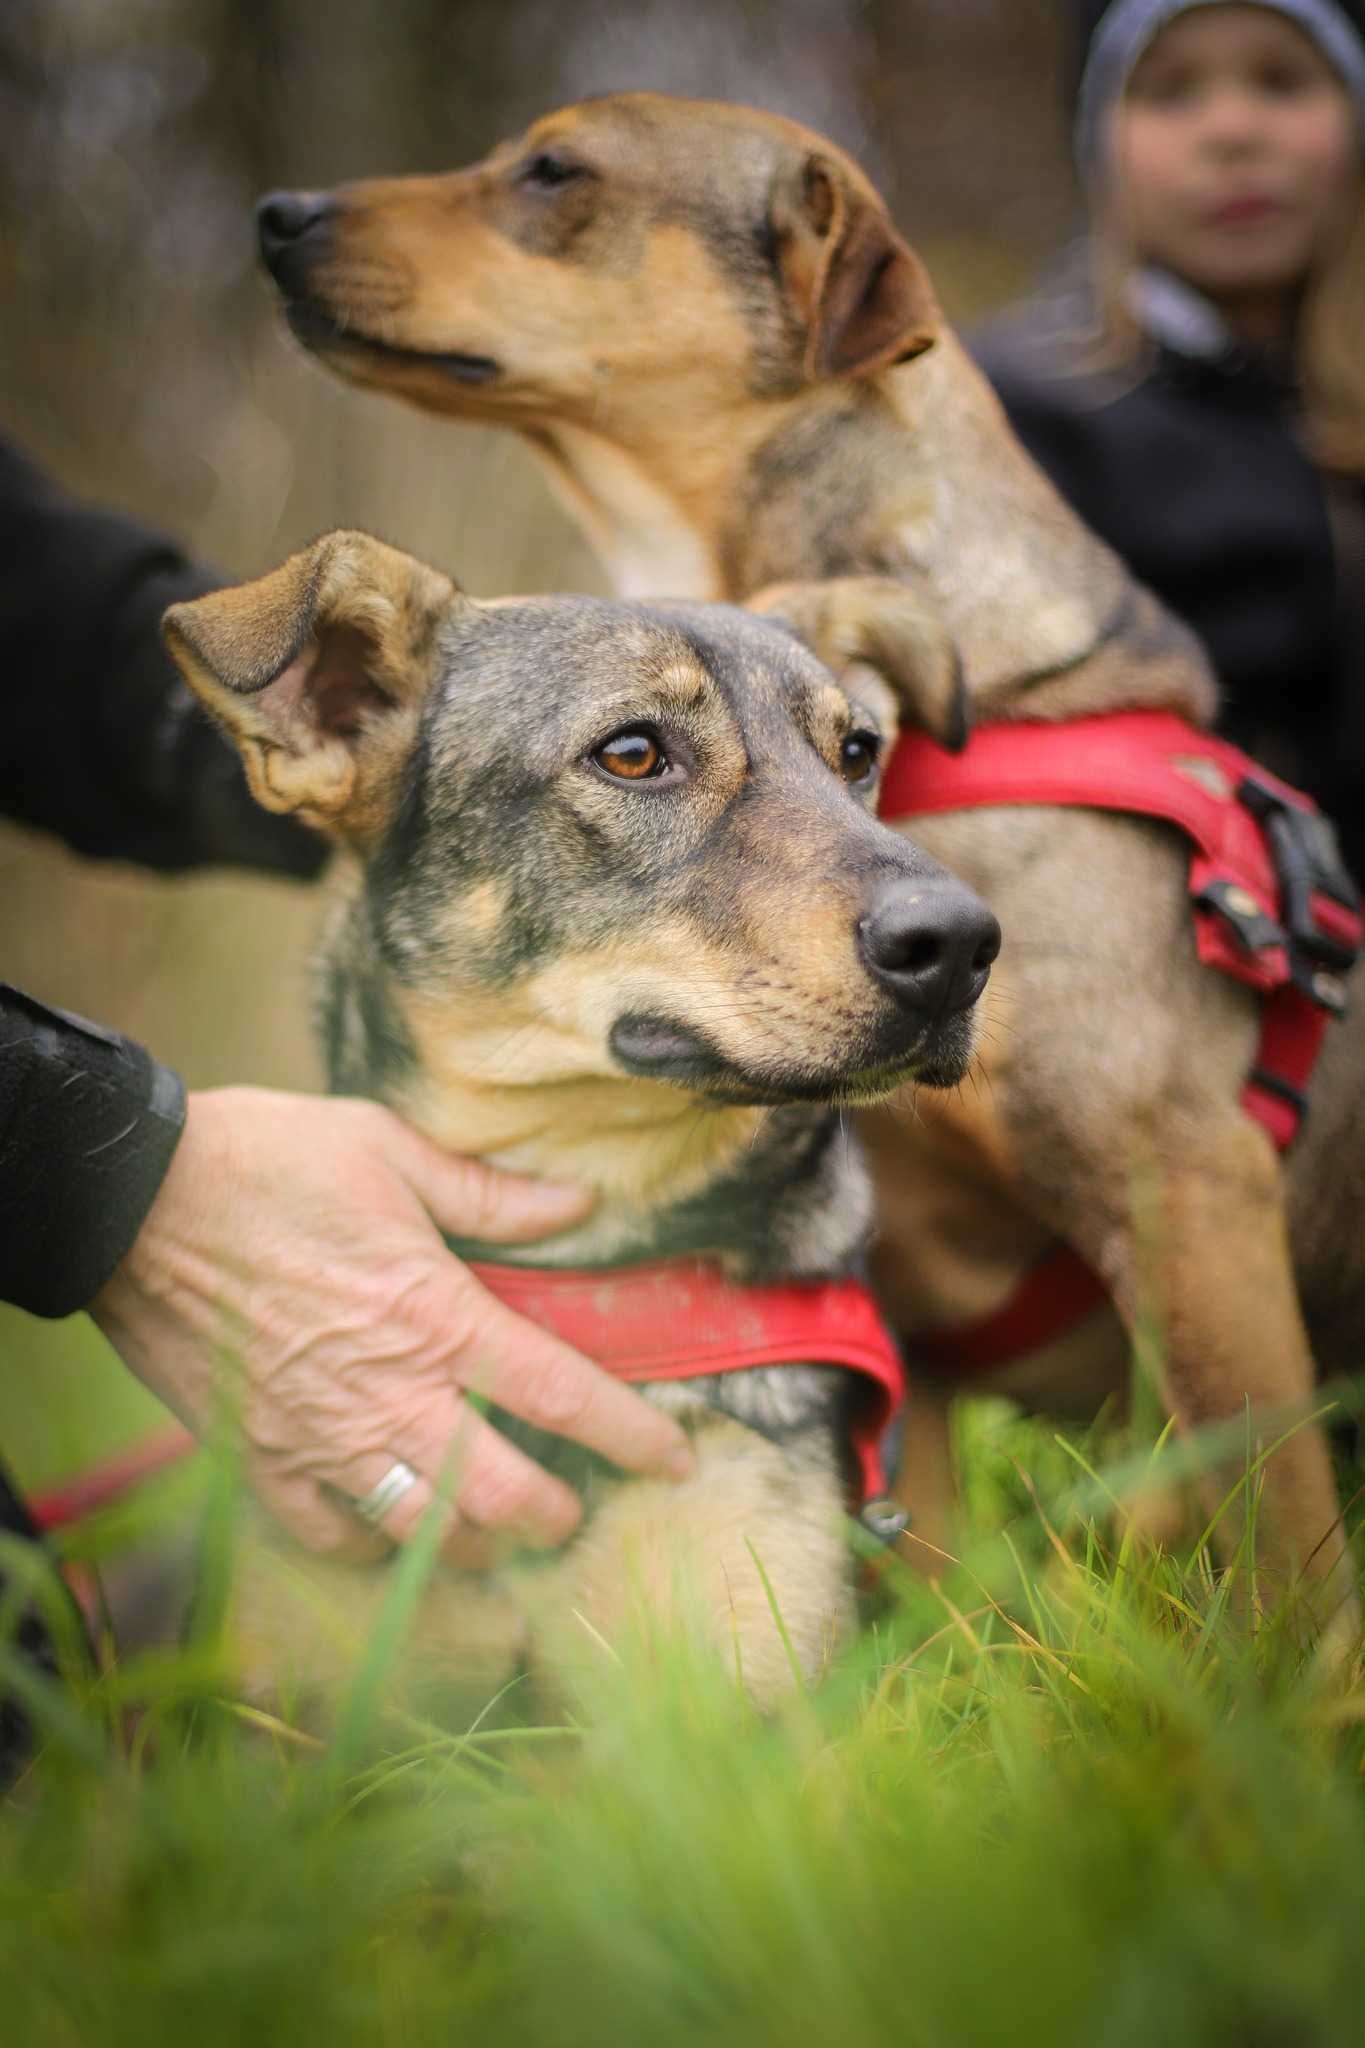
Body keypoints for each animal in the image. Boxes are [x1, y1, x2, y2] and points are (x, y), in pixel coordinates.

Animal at [253, 92, 1365, 1630]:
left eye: (554, 171)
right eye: (638, 752)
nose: (275, 216)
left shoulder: (1190, 1196)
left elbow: (1288, 1562)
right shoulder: (899, 1317)